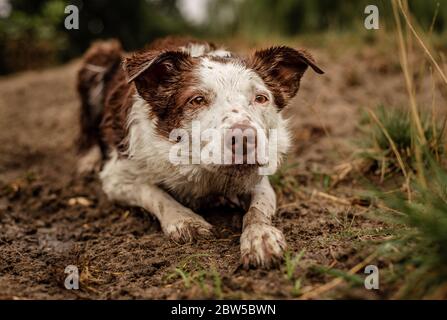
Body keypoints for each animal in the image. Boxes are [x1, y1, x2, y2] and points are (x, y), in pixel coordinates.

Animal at [75, 36, 324, 268]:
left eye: (261, 98)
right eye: (197, 100)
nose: (246, 139)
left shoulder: (259, 175)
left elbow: (258, 208)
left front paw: (260, 237)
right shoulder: (115, 177)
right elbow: (154, 193)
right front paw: (187, 221)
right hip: (98, 58)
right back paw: (88, 160)